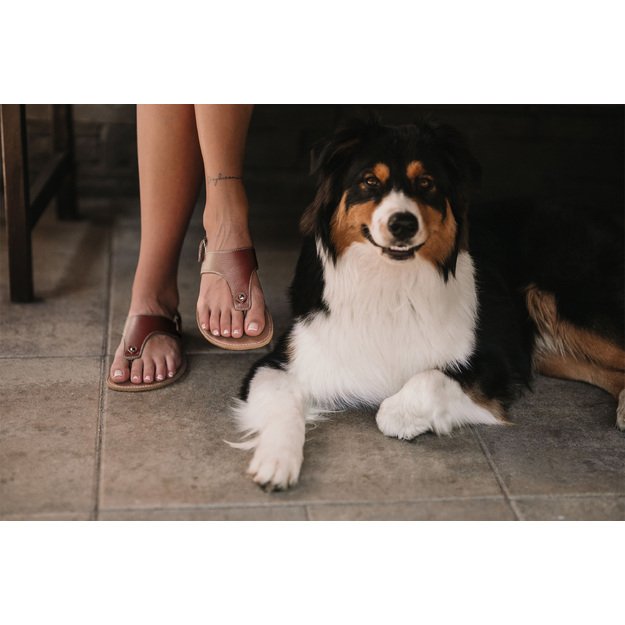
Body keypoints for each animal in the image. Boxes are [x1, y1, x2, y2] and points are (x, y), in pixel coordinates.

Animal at [230, 116, 624, 488]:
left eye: (426, 183)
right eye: (369, 181)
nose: (402, 224)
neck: (388, 284)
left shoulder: (496, 361)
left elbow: (422, 382)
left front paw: (402, 416)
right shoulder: (279, 362)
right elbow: (283, 410)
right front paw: (276, 461)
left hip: (573, 306)